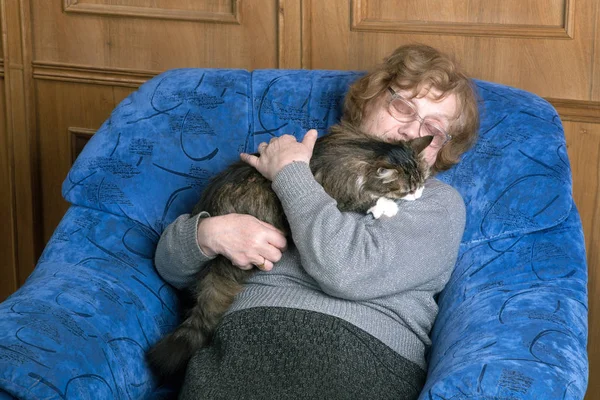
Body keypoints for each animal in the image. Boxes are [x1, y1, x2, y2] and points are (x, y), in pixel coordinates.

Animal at [148, 121, 434, 376]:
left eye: (422, 181)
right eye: (408, 189)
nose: (419, 194)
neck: (363, 149)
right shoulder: (338, 189)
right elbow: (365, 199)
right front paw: (386, 206)